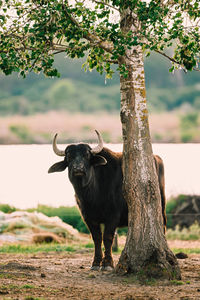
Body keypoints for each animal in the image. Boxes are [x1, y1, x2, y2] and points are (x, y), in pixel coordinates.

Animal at [47, 130, 166, 270]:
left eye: (87, 155)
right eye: (69, 156)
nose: (78, 168)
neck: (92, 195)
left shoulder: (113, 216)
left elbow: (108, 238)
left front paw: (108, 263)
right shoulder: (88, 218)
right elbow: (97, 238)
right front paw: (96, 262)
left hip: (161, 207)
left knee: (163, 226)